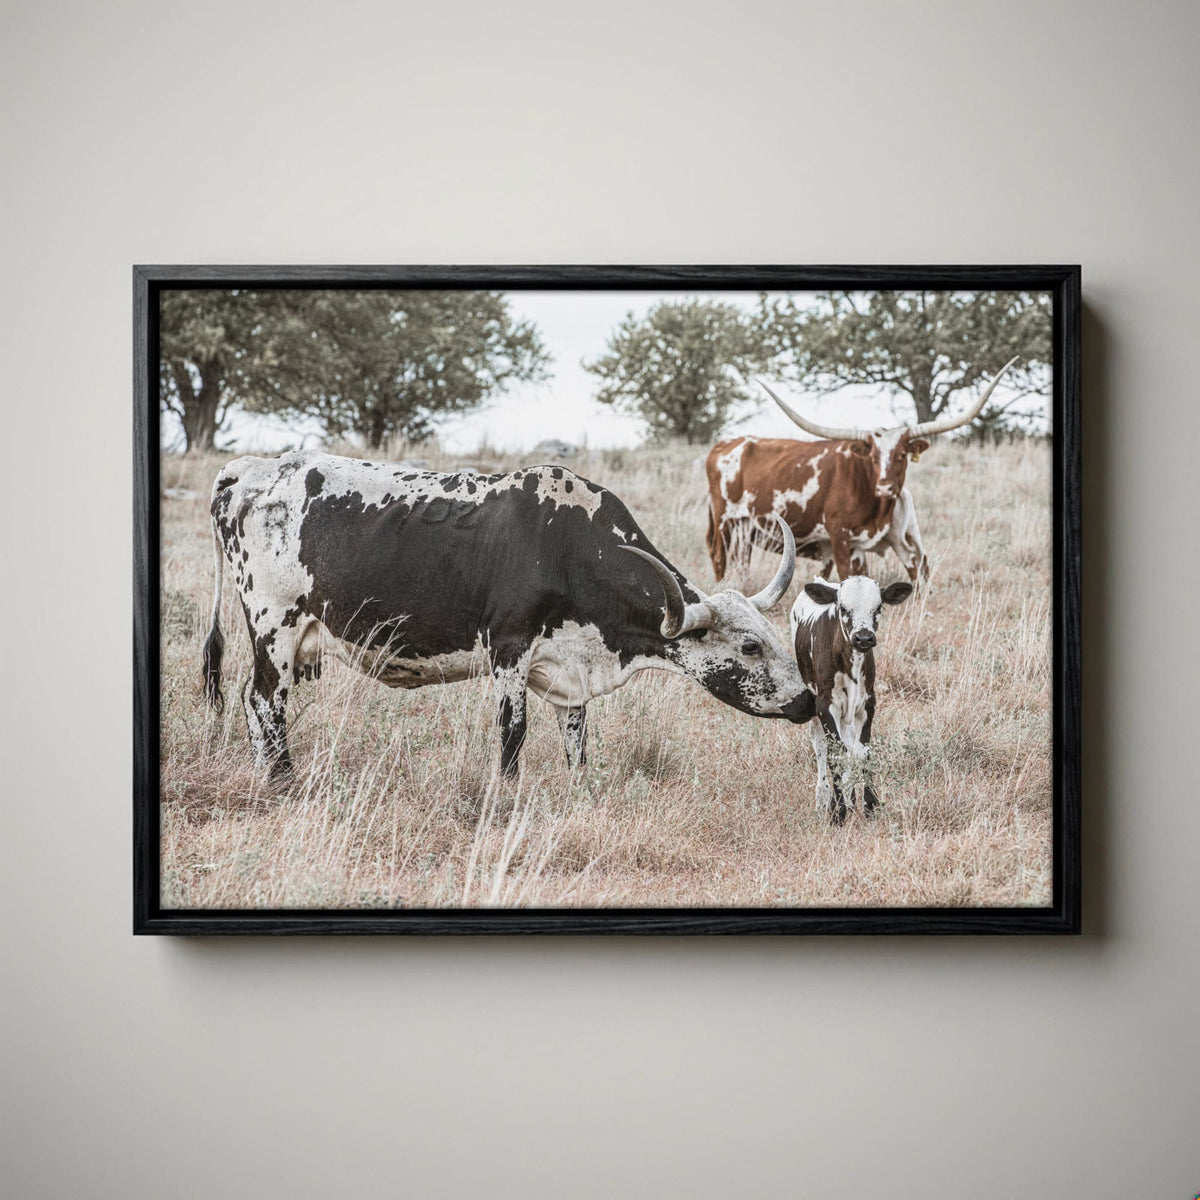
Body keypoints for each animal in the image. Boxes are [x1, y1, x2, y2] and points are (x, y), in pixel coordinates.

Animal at [202, 451, 815, 781]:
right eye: (751, 646)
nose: (808, 700)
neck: (566, 543)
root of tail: (253, 468)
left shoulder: (570, 671)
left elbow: (576, 738)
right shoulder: (509, 648)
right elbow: (513, 731)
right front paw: (508, 791)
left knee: (256, 703)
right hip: (274, 628)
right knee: (264, 701)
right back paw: (282, 778)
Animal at [704, 358, 1018, 585]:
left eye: (902, 454)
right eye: (873, 457)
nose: (885, 487)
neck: (874, 505)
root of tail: (724, 444)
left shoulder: (859, 546)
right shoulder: (839, 536)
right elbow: (845, 577)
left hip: (745, 529)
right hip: (724, 522)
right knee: (719, 560)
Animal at [790, 575, 913, 824]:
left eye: (878, 607)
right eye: (843, 608)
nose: (863, 637)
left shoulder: (868, 704)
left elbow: (863, 753)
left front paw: (869, 805)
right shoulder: (825, 705)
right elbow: (835, 754)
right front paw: (837, 812)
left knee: (849, 744)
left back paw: (850, 798)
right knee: (821, 746)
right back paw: (824, 798)